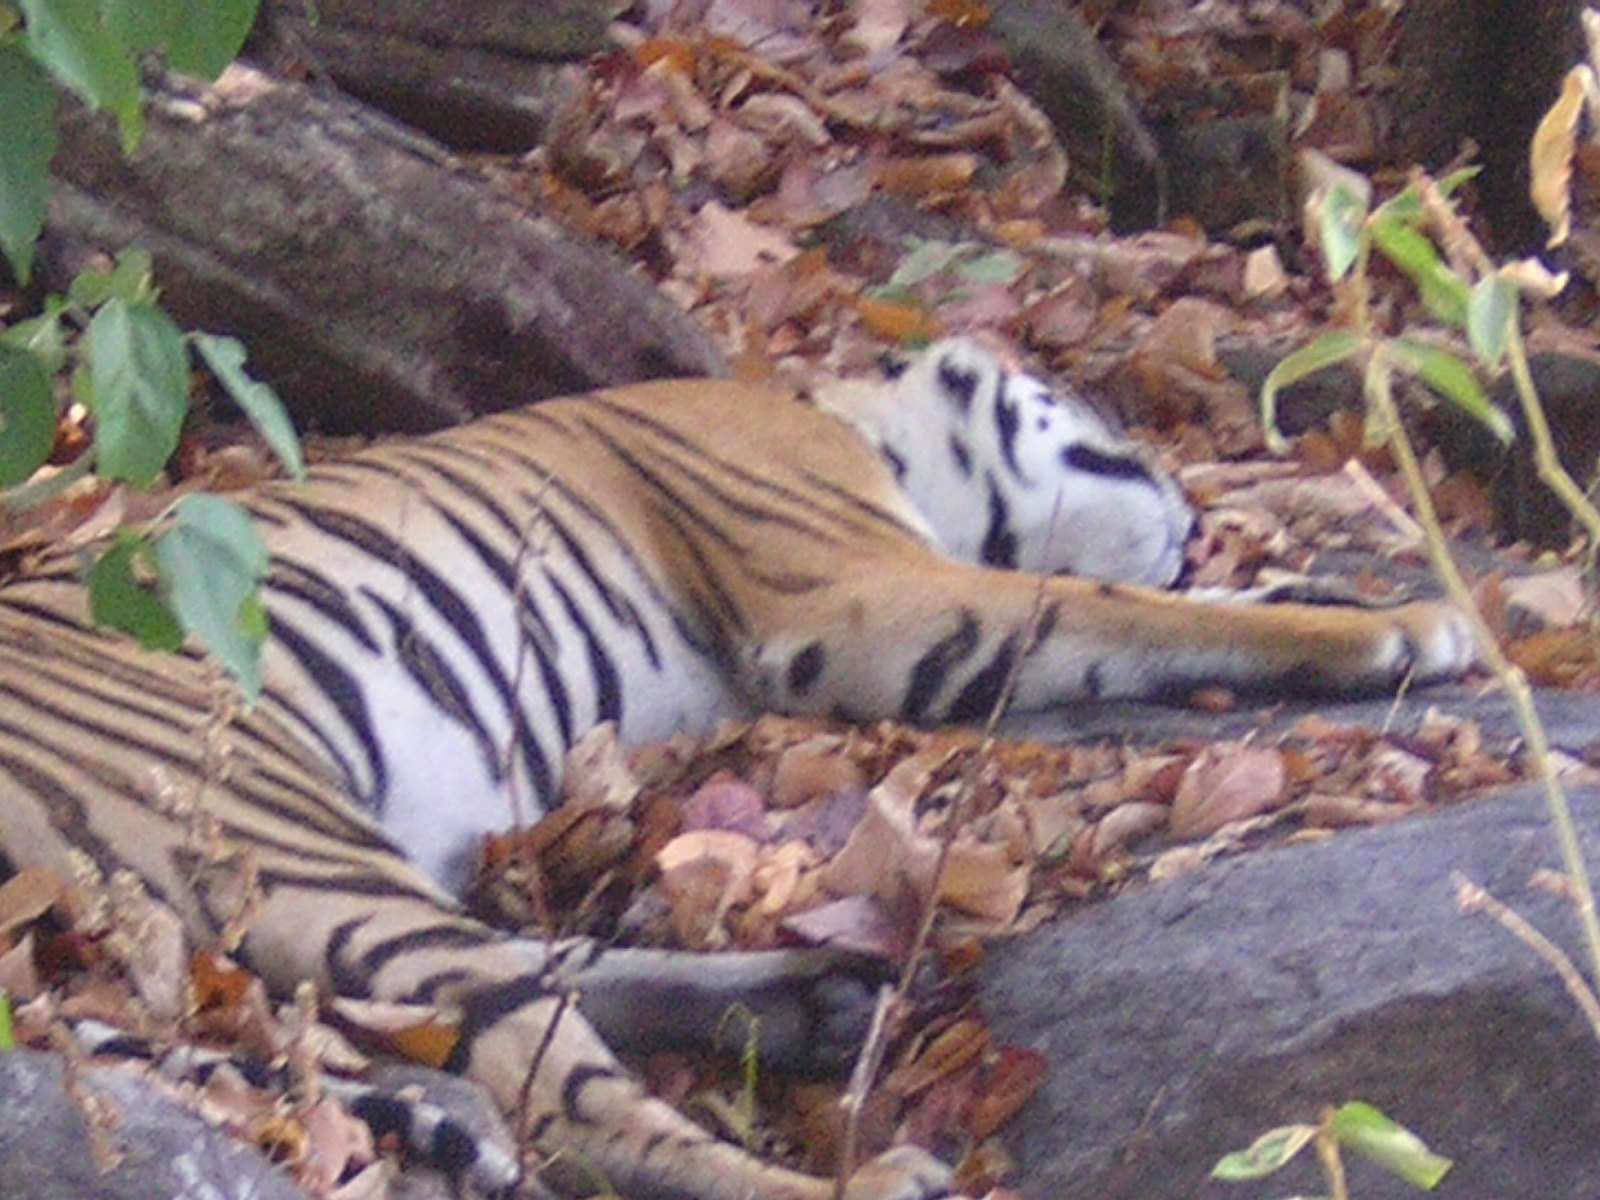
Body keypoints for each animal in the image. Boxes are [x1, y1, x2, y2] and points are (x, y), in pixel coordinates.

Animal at [0, 338, 1474, 1199]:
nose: (1195, 489)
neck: (841, 415)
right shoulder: (866, 592)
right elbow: (1135, 610)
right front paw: (1410, 623)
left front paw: (1318, 580)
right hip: (268, 821)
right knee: (568, 1100)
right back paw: (859, 1161)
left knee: (515, 993)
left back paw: (810, 1003)